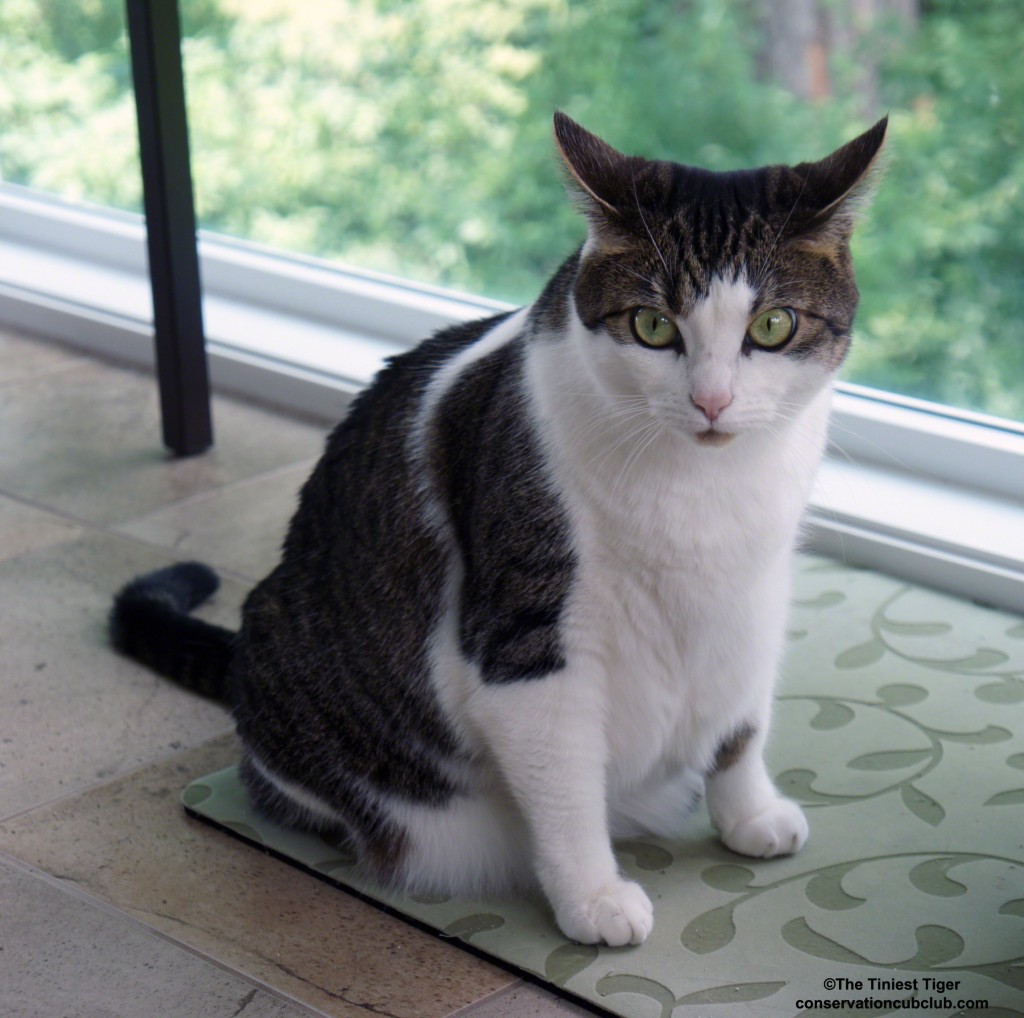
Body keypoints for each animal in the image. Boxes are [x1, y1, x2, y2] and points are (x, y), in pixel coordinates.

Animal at [108, 115, 884, 950]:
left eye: (773, 325)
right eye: (653, 325)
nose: (712, 401)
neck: (703, 490)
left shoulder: (755, 594)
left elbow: (742, 720)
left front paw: (750, 814)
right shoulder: (528, 638)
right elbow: (566, 783)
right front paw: (594, 899)